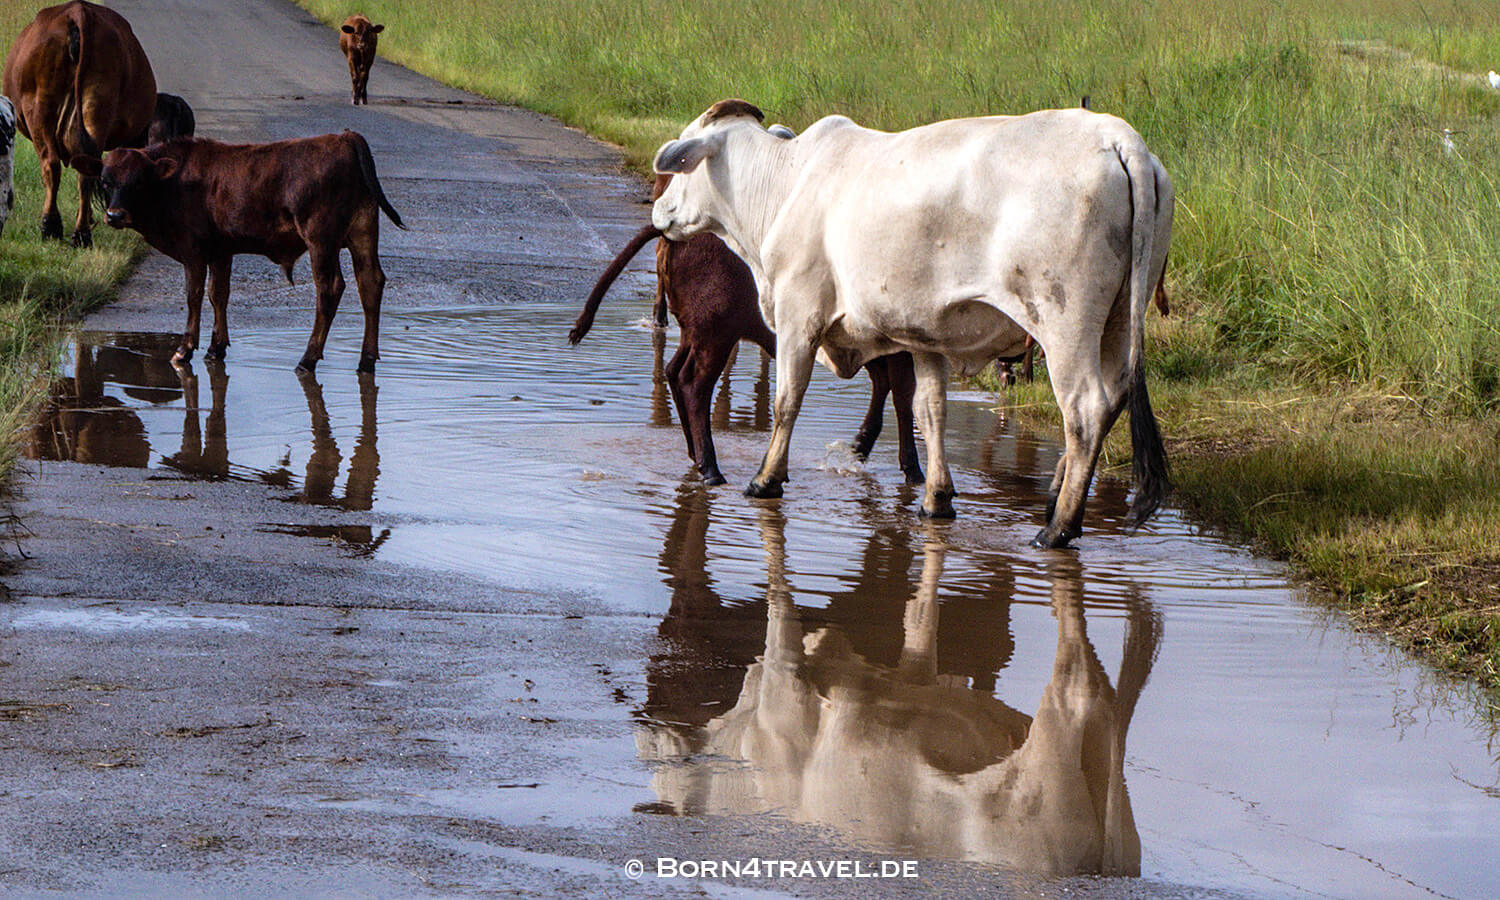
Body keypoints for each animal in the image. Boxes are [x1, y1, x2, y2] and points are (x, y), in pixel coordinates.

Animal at [2, 0, 157, 247]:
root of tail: (78, 10)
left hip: (38, 105)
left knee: (52, 165)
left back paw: (53, 226)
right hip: (94, 103)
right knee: (84, 170)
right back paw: (81, 233)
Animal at [79, 131, 405, 372]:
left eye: (138, 182)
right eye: (106, 181)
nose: (115, 215)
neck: (175, 181)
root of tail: (344, 137)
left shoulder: (193, 251)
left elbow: (194, 296)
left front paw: (185, 349)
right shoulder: (221, 251)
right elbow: (218, 295)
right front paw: (216, 347)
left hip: (321, 240)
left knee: (330, 289)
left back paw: (308, 358)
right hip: (363, 232)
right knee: (370, 283)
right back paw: (366, 360)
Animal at [570, 172, 923, 487]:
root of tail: (676, 235)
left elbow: (890, 390)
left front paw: (862, 448)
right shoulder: (900, 348)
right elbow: (903, 398)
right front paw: (912, 470)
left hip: (695, 332)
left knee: (673, 371)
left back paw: (695, 454)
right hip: (714, 334)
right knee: (692, 383)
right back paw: (711, 468)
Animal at [651, 100, 1172, 548]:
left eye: (684, 160)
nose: (659, 211)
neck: (785, 186)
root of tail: (1116, 136)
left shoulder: (799, 315)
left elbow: (787, 402)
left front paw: (766, 479)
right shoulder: (925, 335)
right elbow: (928, 409)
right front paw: (936, 498)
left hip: (1064, 322)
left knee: (1084, 409)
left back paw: (1059, 526)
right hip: (1119, 321)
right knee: (1114, 397)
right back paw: (1053, 498)